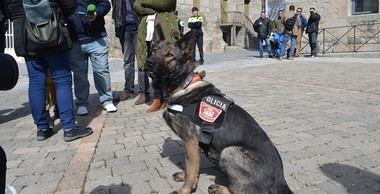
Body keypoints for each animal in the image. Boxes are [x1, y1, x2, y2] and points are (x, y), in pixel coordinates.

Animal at [147, 25, 292, 194]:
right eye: (154, 50)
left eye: (170, 55)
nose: (149, 62)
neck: (183, 85)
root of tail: (280, 179)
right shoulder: (195, 145)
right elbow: (193, 168)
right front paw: (187, 179)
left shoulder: (190, 141)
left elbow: (190, 169)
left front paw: (184, 190)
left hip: (229, 152)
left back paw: (220, 188)